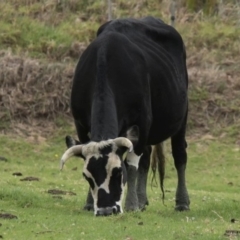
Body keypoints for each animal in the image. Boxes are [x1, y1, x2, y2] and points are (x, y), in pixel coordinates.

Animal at [59, 16, 189, 216]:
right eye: (87, 176)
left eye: (118, 172)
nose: (106, 210)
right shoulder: (80, 123)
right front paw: (89, 203)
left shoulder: (142, 122)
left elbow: (132, 164)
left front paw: (131, 205)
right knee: (146, 159)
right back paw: (143, 200)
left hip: (181, 117)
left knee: (179, 154)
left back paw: (182, 202)